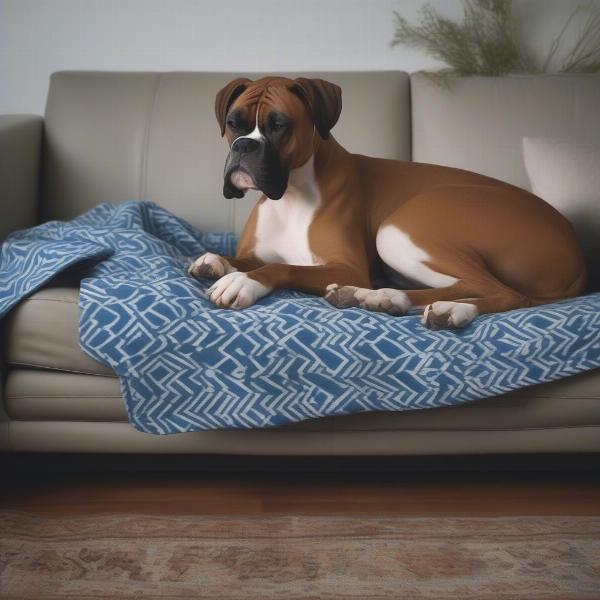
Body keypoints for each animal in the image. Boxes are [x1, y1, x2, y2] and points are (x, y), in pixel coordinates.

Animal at [189, 77, 584, 330]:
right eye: (233, 123)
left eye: (279, 125)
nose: (243, 146)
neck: (291, 194)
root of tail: (574, 248)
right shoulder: (258, 252)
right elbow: (245, 258)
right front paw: (216, 261)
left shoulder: (346, 266)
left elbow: (282, 268)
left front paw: (244, 281)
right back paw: (379, 297)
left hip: (400, 227)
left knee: (504, 292)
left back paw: (449, 311)